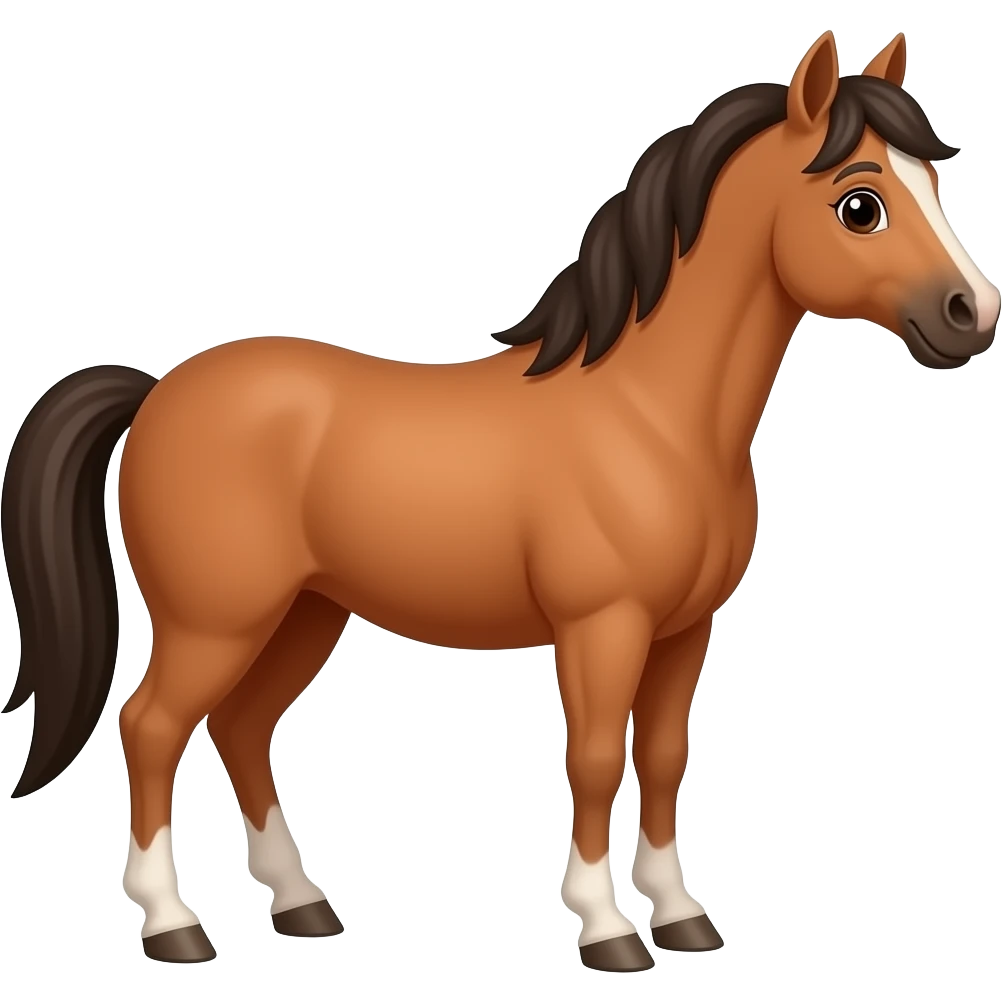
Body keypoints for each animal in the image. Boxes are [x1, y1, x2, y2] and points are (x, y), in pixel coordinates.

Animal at [2, 29, 999, 972]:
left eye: (934, 183)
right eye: (860, 203)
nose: (972, 313)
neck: (646, 416)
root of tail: (158, 390)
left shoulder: (685, 629)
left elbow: (664, 758)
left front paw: (681, 915)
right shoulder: (603, 626)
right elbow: (593, 761)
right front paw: (607, 929)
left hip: (303, 614)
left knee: (239, 729)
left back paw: (302, 905)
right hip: (216, 620)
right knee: (151, 727)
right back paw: (174, 925)